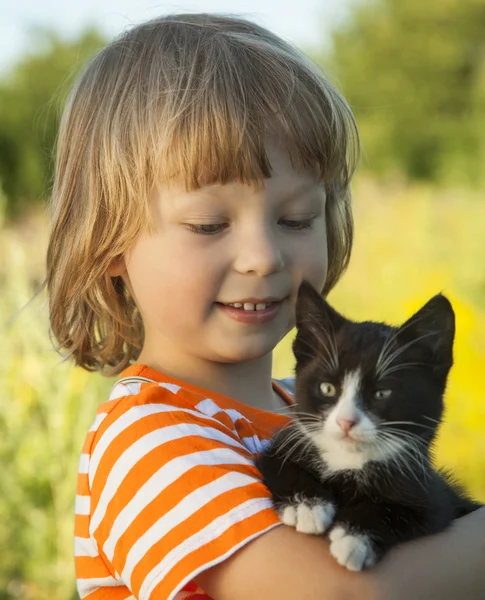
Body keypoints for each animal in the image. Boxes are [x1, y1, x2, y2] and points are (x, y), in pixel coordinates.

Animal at [258, 282, 480, 572]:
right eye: (327, 388)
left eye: (382, 393)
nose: (346, 421)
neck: (349, 462)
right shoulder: (279, 447)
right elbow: (277, 463)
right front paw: (306, 507)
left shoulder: (434, 499)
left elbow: (396, 512)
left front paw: (353, 540)